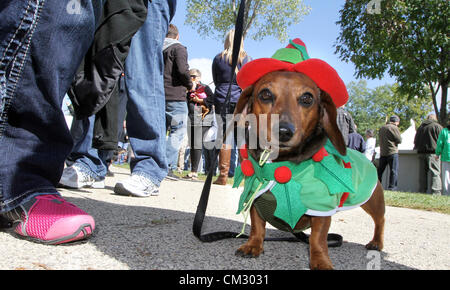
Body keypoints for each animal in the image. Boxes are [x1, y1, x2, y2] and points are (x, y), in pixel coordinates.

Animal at [232, 71, 384, 270]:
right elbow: (257, 226)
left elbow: (317, 239)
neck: (280, 165)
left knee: (380, 221)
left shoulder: (321, 208)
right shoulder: (255, 198)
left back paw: (377, 242)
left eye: (307, 98)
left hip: (373, 201)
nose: (283, 131)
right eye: (265, 94)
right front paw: (253, 245)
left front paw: (320, 260)